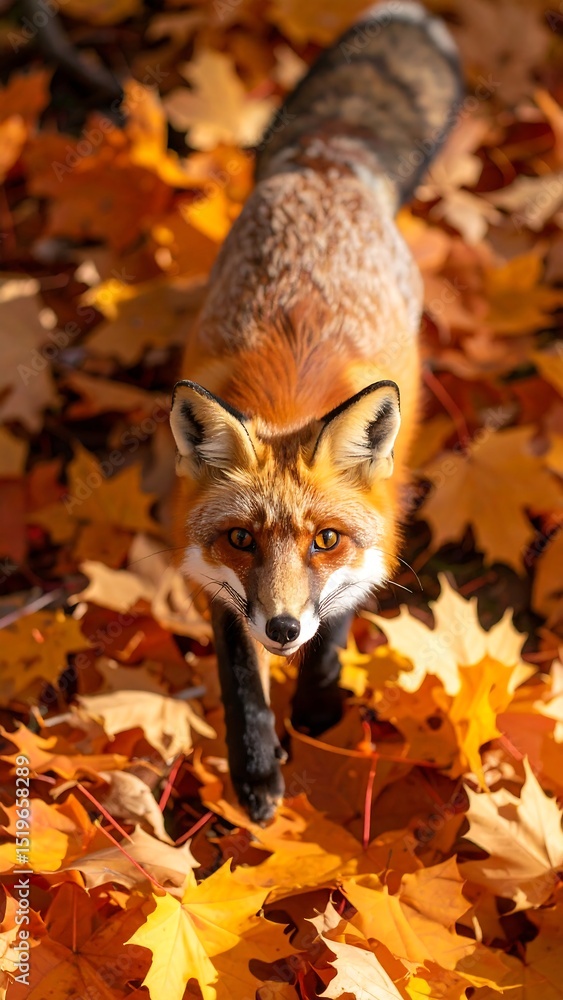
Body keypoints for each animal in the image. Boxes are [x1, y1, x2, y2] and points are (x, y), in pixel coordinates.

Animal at [169, 1, 462, 822]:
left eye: (326, 540)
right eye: (240, 539)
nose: (280, 625)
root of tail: (328, 157)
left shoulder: (373, 543)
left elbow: (336, 624)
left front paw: (318, 705)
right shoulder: (213, 580)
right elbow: (239, 680)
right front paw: (256, 769)